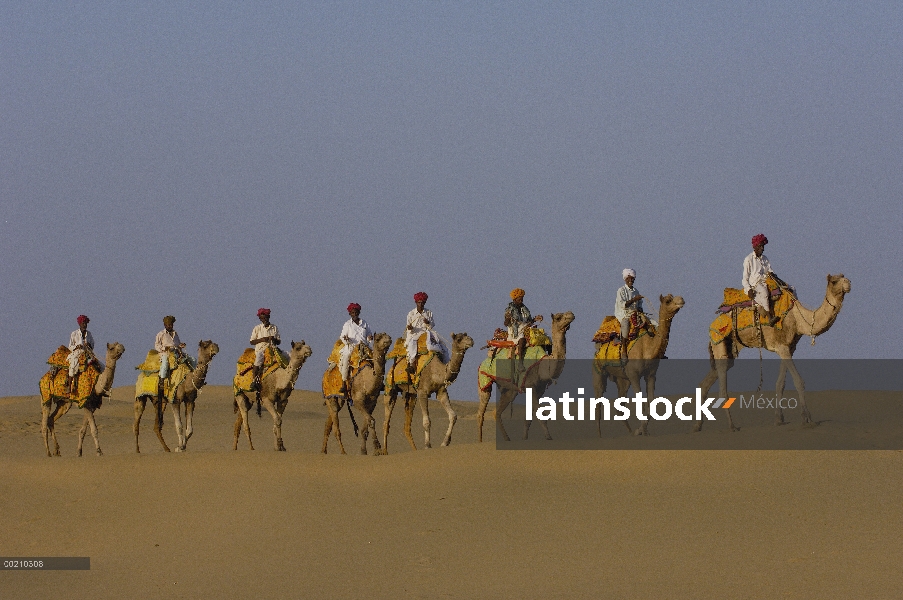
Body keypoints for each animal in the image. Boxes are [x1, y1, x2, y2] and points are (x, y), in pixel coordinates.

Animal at [476, 312, 576, 442]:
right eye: (559, 317)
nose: (571, 314)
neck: (542, 366)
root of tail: (482, 363)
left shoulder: (539, 390)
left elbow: (529, 418)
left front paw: (524, 438)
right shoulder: (530, 386)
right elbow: (541, 415)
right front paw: (548, 437)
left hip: (509, 390)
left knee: (496, 412)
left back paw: (507, 438)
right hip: (483, 380)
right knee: (481, 412)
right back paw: (480, 441)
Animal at [592, 292, 684, 434]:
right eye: (668, 301)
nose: (681, 300)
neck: (647, 348)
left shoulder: (650, 374)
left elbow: (651, 401)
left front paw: (641, 430)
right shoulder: (634, 375)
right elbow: (640, 402)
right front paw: (641, 430)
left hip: (622, 379)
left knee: (620, 406)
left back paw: (630, 432)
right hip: (599, 371)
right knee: (598, 403)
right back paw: (599, 435)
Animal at [696, 274, 852, 428]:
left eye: (844, 277)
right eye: (834, 281)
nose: (848, 283)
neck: (799, 319)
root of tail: (712, 324)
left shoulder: (789, 347)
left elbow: (780, 384)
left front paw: (779, 419)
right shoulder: (782, 347)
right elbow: (798, 381)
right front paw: (807, 419)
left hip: (730, 347)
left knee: (708, 381)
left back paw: (697, 426)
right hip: (719, 338)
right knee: (722, 387)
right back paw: (732, 426)